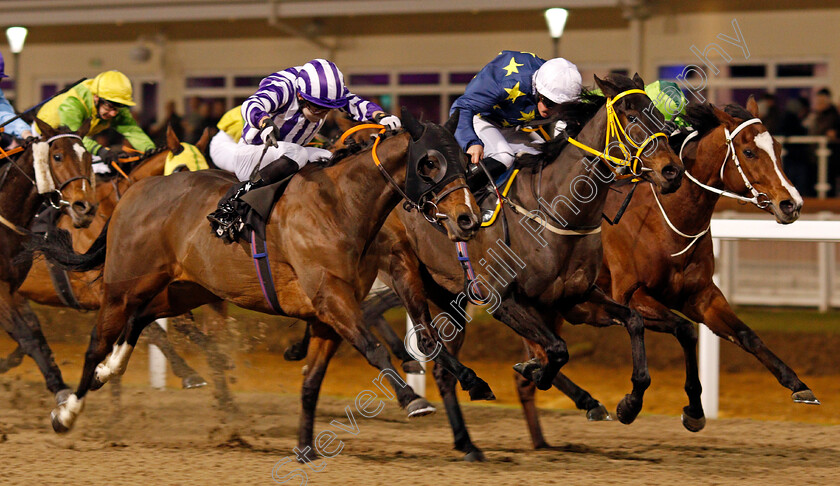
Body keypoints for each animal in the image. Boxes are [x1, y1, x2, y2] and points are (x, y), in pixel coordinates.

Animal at [0, 119, 98, 404]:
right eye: (57, 156)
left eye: (88, 157)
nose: (85, 208)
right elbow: (27, 336)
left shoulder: (14, 289)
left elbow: (35, 333)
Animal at [32, 112, 482, 454]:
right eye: (428, 163)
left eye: (465, 160)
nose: (468, 218)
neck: (342, 204)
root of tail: (129, 195)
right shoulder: (332, 297)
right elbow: (373, 348)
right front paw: (412, 399)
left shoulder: (335, 308)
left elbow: (319, 378)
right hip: (122, 286)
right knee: (97, 341)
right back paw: (66, 412)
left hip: (183, 289)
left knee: (139, 319)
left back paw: (109, 371)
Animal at [516, 96, 816, 448]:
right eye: (749, 152)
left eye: (779, 148)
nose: (791, 204)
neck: (667, 219)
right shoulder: (632, 295)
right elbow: (685, 330)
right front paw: (647, 405)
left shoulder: (702, 296)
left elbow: (746, 335)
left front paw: (797, 384)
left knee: (534, 368)